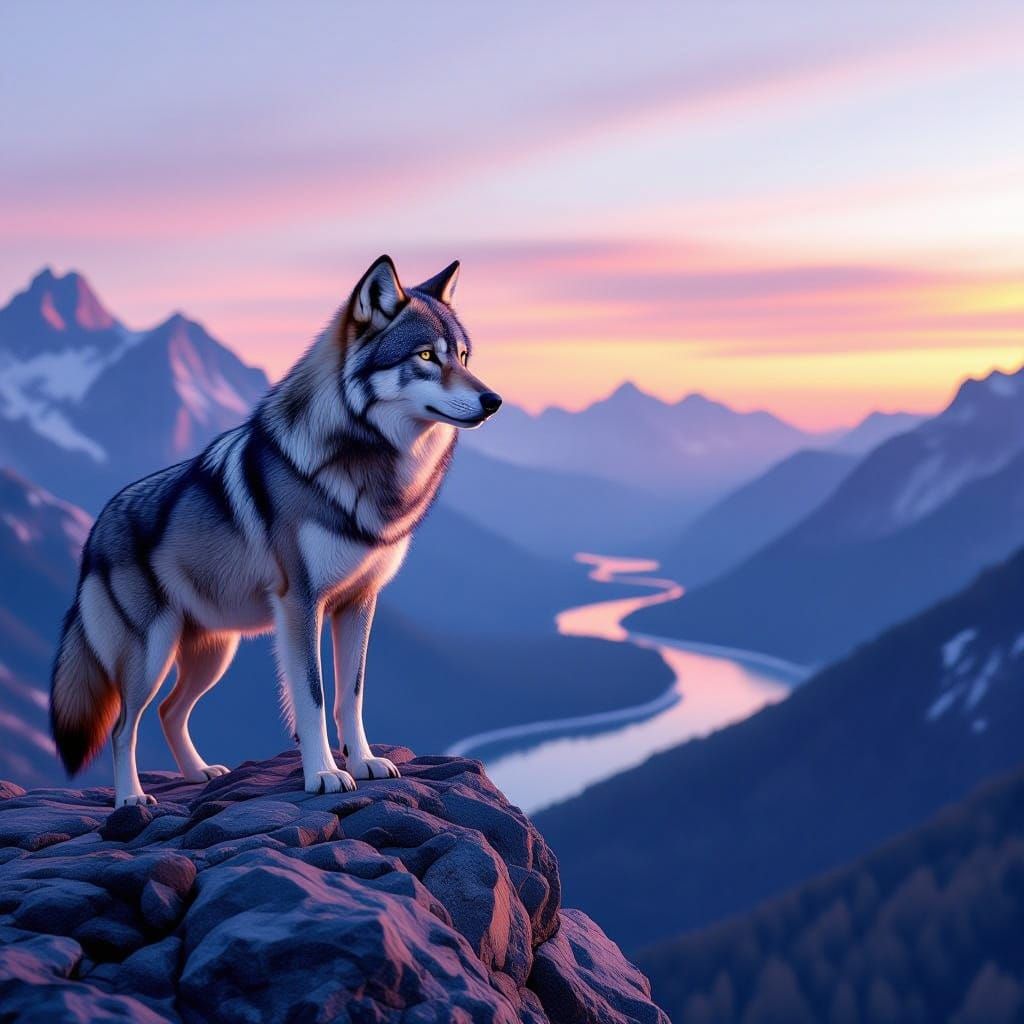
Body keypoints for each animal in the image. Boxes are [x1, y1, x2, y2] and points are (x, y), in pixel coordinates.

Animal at [50, 256, 502, 807]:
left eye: (462, 356)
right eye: (425, 356)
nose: (494, 399)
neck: (368, 464)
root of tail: (95, 529)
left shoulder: (359, 602)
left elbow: (351, 694)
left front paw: (365, 762)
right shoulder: (301, 604)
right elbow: (313, 695)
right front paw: (324, 774)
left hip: (213, 653)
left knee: (168, 711)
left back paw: (199, 774)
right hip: (152, 654)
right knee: (123, 725)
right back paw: (131, 798)